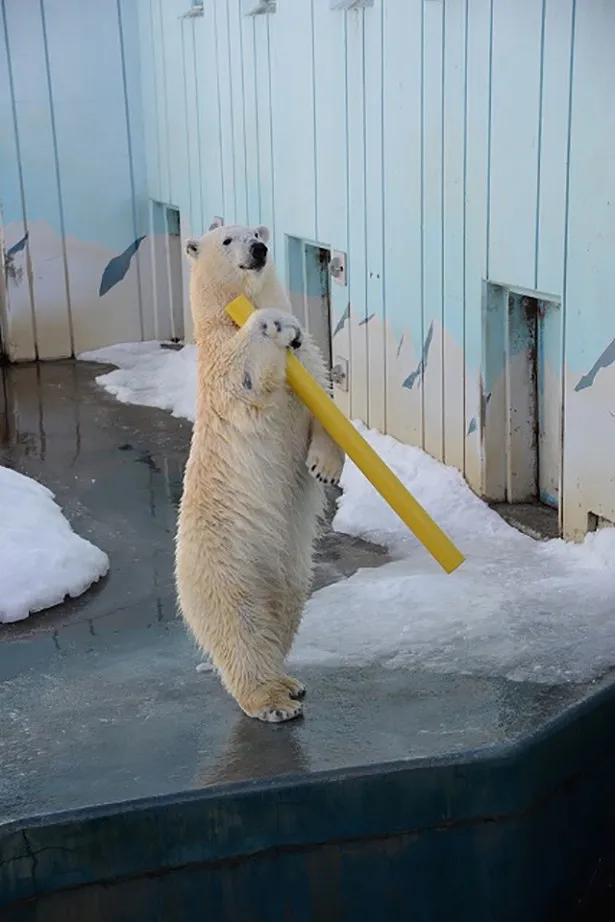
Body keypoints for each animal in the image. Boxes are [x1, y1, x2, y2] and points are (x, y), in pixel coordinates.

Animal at [176, 221, 344, 720]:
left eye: (255, 231)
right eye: (226, 240)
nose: (258, 249)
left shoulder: (310, 363)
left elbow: (326, 409)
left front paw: (323, 467)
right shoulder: (219, 367)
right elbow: (245, 375)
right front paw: (273, 324)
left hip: (291, 570)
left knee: (282, 613)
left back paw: (288, 681)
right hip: (226, 562)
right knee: (241, 628)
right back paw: (270, 701)